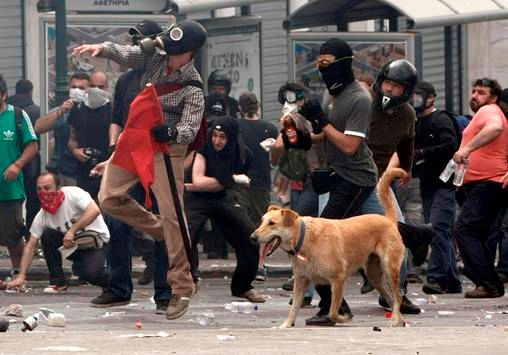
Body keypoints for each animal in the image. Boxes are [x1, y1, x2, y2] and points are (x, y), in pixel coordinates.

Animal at [252, 168, 406, 330]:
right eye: (262, 221)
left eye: (272, 223)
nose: (252, 237)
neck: (303, 239)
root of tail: (389, 220)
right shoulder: (301, 280)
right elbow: (294, 308)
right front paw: (286, 325)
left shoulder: (338, 279)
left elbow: (333, 311)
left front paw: (343, 317)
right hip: (374, 276)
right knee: (391, 297)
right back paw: (399, 320)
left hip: (390, 268)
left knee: (398, 297)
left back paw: (395, 319)